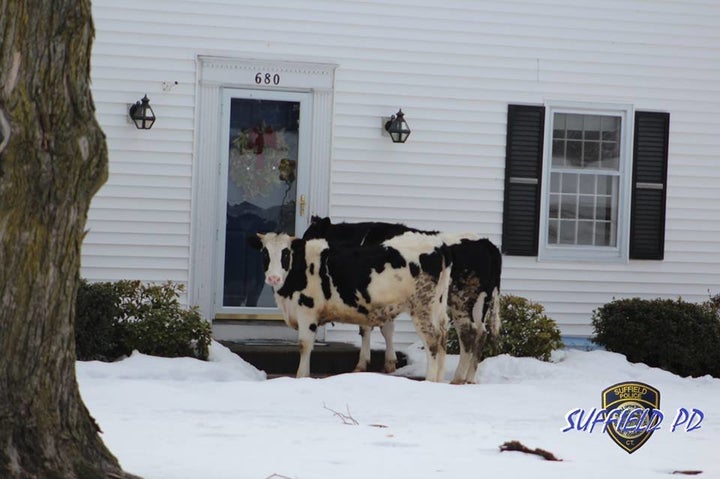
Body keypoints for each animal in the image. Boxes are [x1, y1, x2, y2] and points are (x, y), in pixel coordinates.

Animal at [248, 232, 450, 382]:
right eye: (265, 253)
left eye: (285, 253)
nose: (273, 278)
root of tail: (437, 246)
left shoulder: (307, 310)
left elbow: (304, 345)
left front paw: (301, 376)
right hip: (438, 308)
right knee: (442, 337)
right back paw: (438, 380)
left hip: (422, 308)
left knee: (432, 341)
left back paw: (429, 380)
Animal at [302, 218, 500, 386]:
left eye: (308, 235)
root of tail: (487, 244)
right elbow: (387, 329)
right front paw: (390, 362)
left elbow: (369, 328)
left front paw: (363, 364)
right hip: (481, 301)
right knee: (481, 332)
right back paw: (470, 378)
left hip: (461, 299)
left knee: (467, 332)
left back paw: (458, 378)